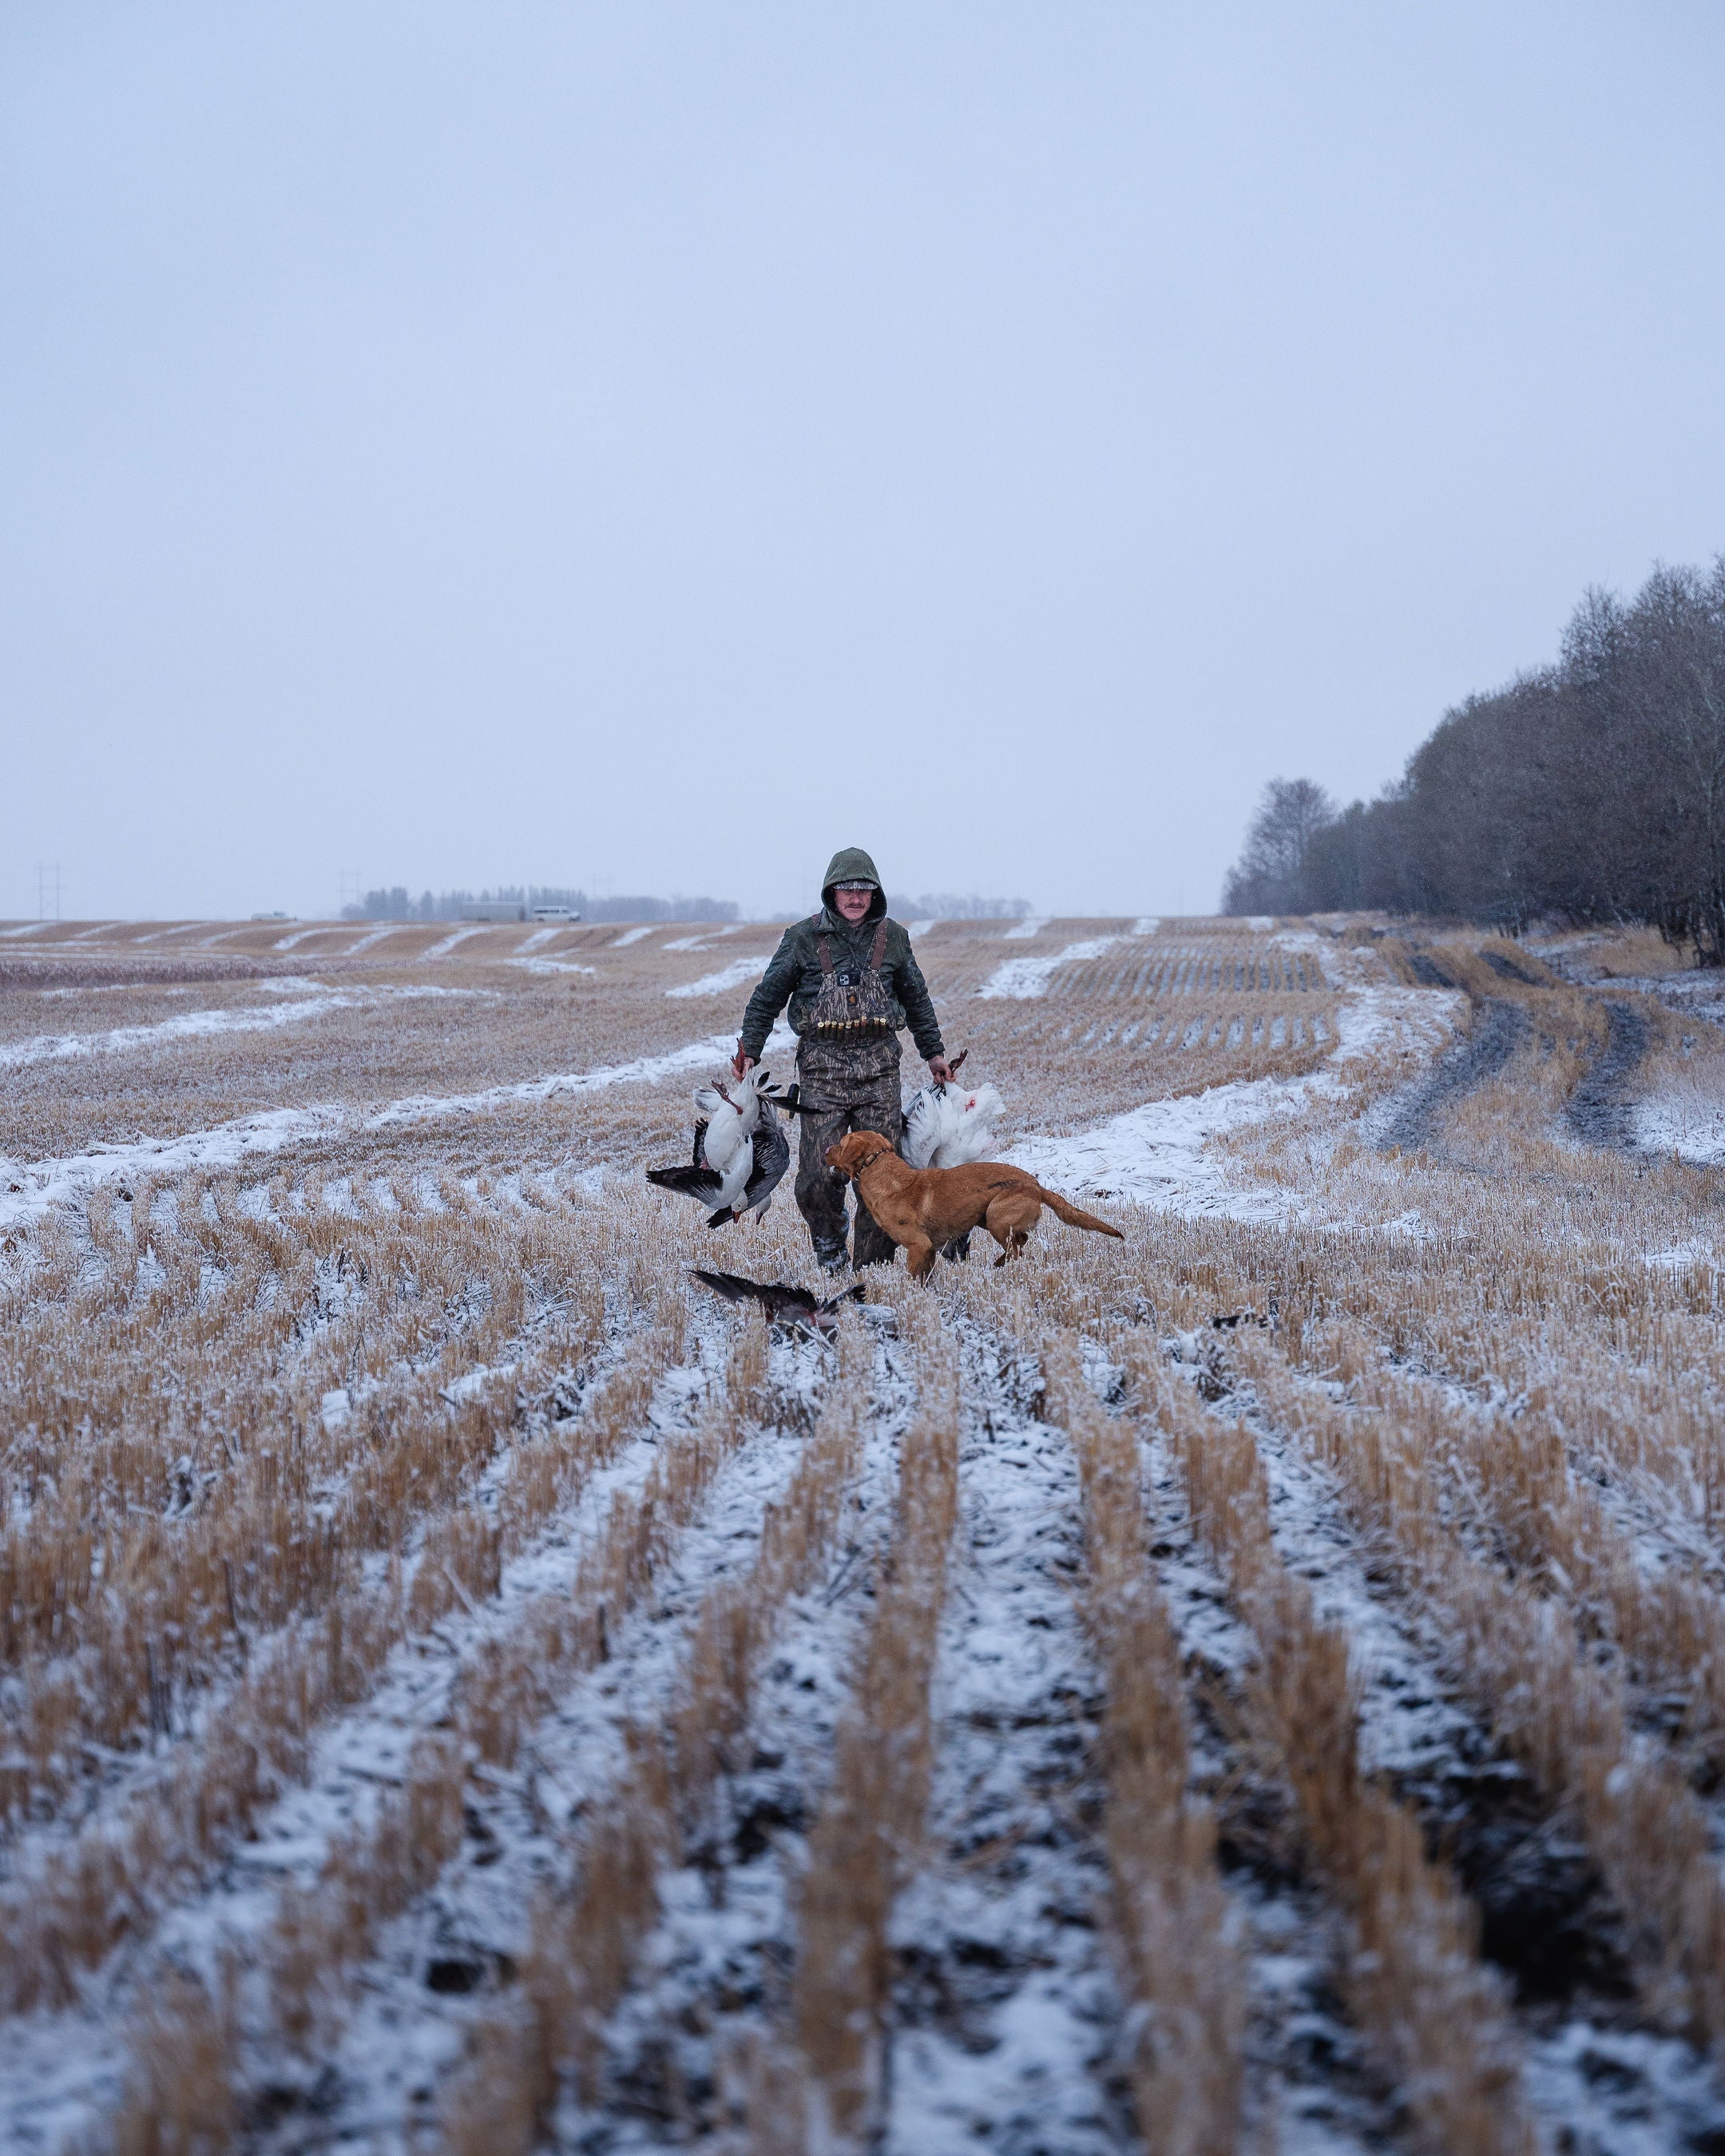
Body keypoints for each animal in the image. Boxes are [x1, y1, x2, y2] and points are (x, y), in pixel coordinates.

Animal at [823, 1129, 1121, 1276]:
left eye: (840, 1143)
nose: (825, 1150)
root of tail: (1036, 1185)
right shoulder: (930, 1249)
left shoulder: (919, 1245)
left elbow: (911, 1277)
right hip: (988, 1219)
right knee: (1021, 1242)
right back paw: (998, 1264)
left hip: (996, 1216)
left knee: (1017, 1250)